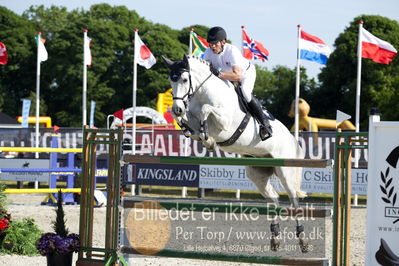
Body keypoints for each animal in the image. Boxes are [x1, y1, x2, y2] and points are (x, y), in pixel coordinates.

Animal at [162, 54, 310, 251]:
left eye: (185, 79)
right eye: (171, 80)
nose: (178, 107)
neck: (203, 93)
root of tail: (292, 140)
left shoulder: (224, 122)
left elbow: (206, 111)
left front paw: (206, 136)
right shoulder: (191, 115)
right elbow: (186, 120)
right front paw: (198, 134)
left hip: (285, 171)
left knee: (294, 201)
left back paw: (303, 240)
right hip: (257, 173)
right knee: (274, 199)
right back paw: (275, 238)